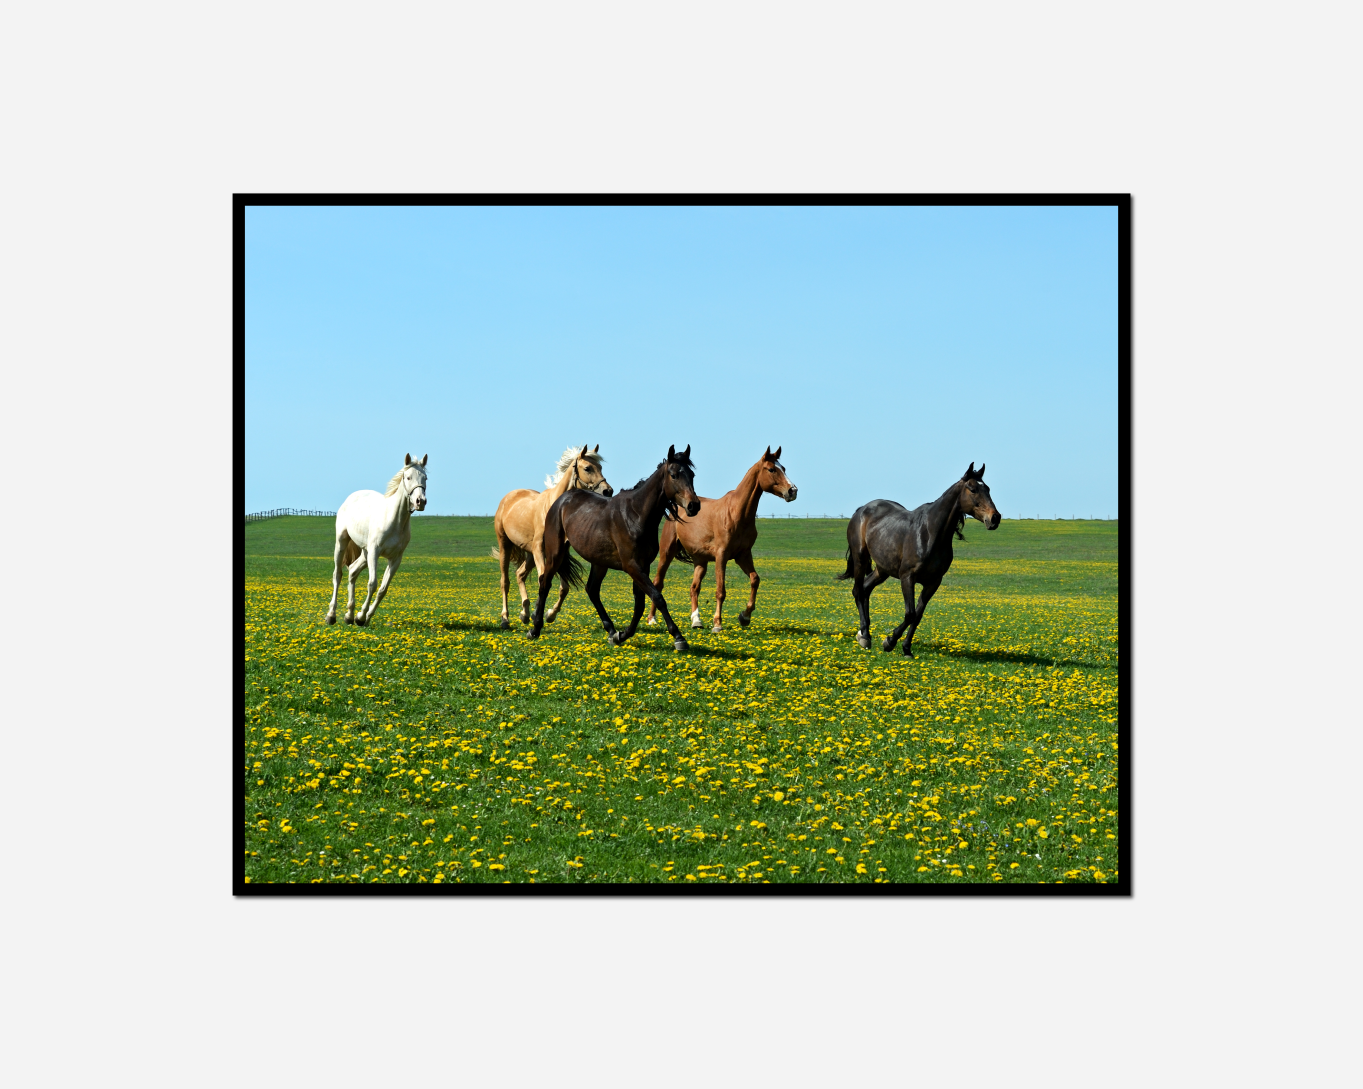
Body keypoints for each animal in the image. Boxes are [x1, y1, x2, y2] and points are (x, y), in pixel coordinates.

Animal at [326, 453, 428, 627]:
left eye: (425, 478)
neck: (395, 520)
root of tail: (352, 497)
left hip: (365, 553)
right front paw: (361, 617)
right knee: (337, 574)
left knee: (352, 571)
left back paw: (349, 615)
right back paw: (331, 615)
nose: (420, 501)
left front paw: (364, 618)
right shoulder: (375, 552)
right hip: (342, 542)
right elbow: (372, 584)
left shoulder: (395, 559)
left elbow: (382, 589)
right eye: (408, 477)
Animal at [492, 444, 612, 629]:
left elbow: (564, 587)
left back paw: (525, 613)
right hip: (505, 545)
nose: (608, 490)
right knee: (505, 582)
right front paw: (539, 613)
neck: (555, 507)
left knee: (520, 574)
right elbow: (543, 579)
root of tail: (508, 497)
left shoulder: (558, 553)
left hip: (529, 554)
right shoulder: (539, 550)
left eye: (600, 467)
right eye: (587, 468)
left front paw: (548, 614)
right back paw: (505, 619)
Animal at [529, 445, 701, 652]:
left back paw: (611, 630)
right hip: (556, 554)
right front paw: (678, 637)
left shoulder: (643, 566)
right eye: (674, 475)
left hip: (599, 562)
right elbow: (657, 597)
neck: (636, 515)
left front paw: (621, 635)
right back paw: (535, 628)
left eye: (691, 474)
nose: (694, 505)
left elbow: (640, 605)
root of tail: (562, 500)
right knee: (545, 583)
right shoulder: (632, 566)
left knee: (592, 589)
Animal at [645, 445, 797, 633]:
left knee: (694, 588)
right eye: (771, 469)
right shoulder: (721, 556)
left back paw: (696, 620)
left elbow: (755, 579)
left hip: (700, 561)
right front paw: (717, 624)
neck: (737, 513)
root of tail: (677, 507)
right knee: (658, 583)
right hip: (667, 552)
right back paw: (652, 619)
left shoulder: (743, 556)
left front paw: (745, 616)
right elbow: (720, 590)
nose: (792, 491)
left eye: (783, 468)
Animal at [837, 462, 1001, 656]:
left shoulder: (933, 583)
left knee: (865, 589)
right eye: (973, 489)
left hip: (882, 569)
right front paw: (889, 642)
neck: (929, 533)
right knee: (858, 591)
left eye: (988, 489)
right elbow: (910, 613)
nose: (995, 518)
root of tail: (862, 510)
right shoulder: (908, 577)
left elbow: (918, 615)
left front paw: (906, 648)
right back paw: (864, 637)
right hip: (861, 559)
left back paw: (865, 633)